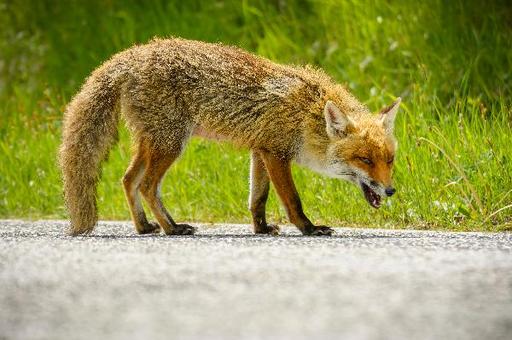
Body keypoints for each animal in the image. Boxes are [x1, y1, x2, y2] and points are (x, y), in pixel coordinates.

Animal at [57, 37, 400, 236]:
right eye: (364, 159)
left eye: (389, 160)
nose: (390, 190)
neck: (307, 113)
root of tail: (133, 54)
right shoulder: (277, 154)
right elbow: (292, 199)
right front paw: (308, 228)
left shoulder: (261, 151)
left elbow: (257, 199)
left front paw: (260, 229)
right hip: (170, 144)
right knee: (146, 185)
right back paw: (172, 228)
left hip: (153, 142)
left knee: (128, 180)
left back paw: (144, 227)